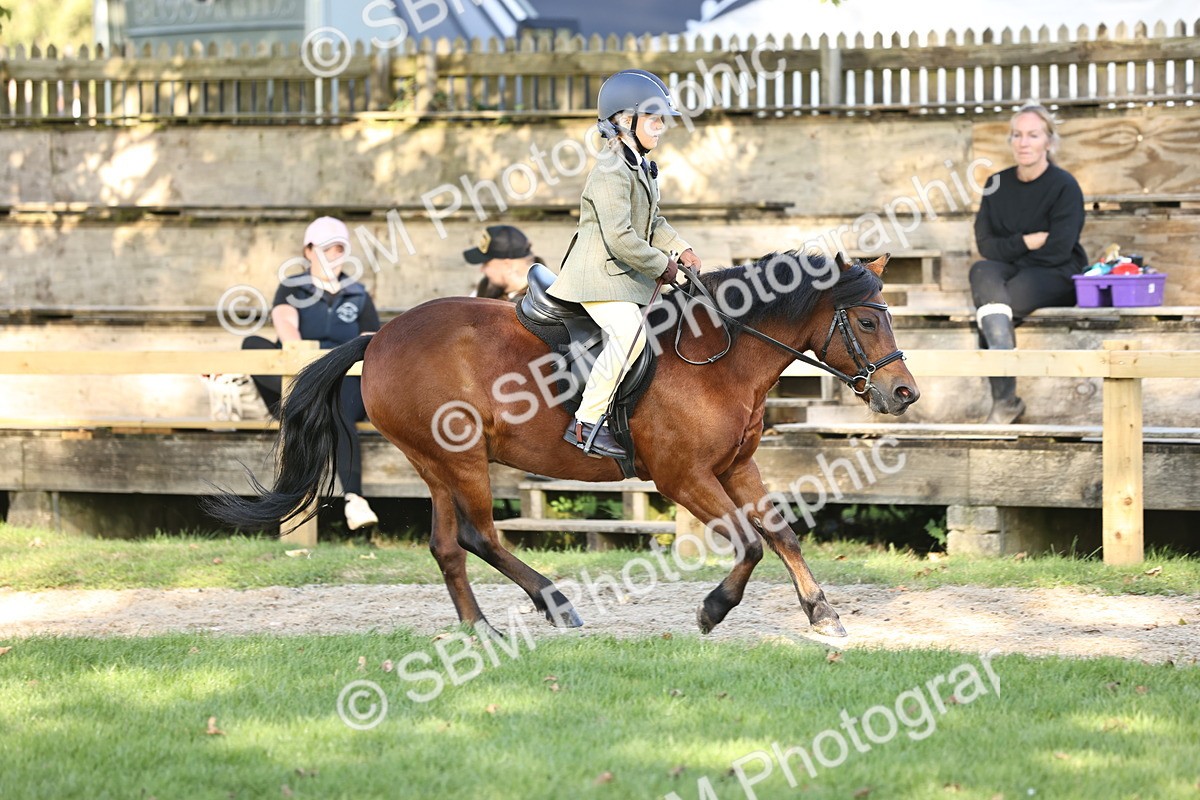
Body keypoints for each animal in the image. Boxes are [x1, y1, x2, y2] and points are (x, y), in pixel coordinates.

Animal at [207, 251, 919, 639]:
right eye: (865, 320)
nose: (904, 393)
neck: (722, 350)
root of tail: (378, 337)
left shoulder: (736, 468)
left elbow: (782, 535)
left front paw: (822, 614)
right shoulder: (683, 477)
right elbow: (749, 543)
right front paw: (713, 610)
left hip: (435, 462)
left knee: (447, 544)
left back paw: (480, 625)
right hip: (462, 457)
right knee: (480, 535)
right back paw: (556, 603)